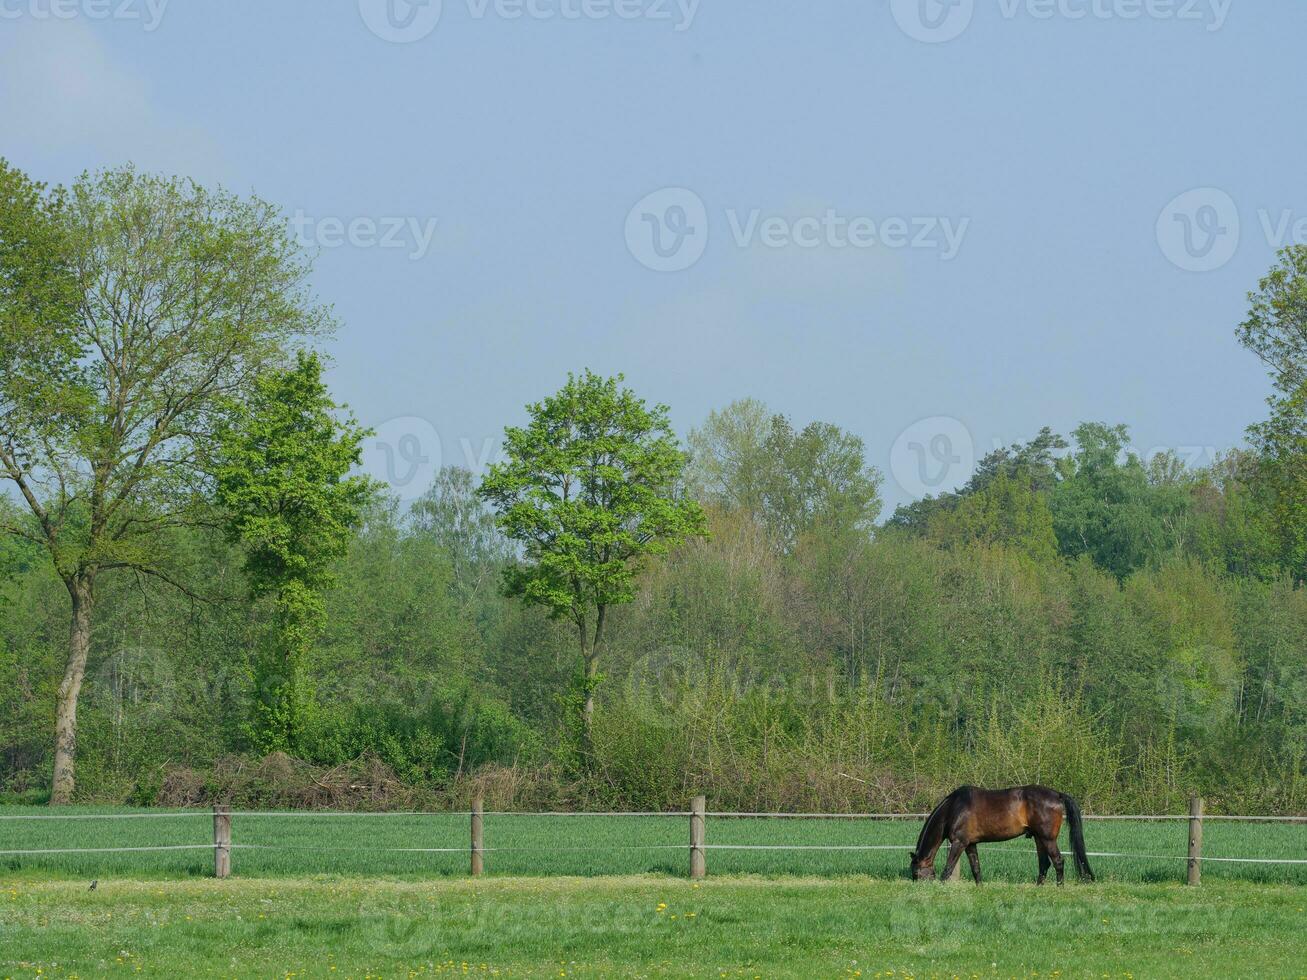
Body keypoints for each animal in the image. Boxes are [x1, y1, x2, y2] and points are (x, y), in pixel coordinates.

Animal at [909, 789, 1092, 888]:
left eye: (916, 873)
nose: (918, 888)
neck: (954, 808)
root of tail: (1057, 795)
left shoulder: (958, 843)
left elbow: (948, 868)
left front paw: (941, 887)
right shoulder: (970, 844)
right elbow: (976, 868)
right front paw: (980, 887)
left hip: (1048, 839)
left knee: (1058, 861)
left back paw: (1059, 887)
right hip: (1039, 838)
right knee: (1044, 863)